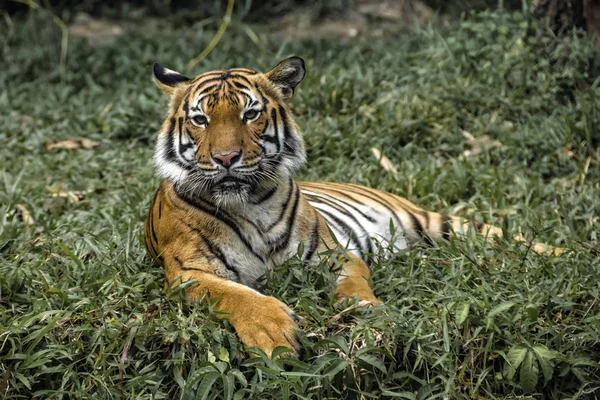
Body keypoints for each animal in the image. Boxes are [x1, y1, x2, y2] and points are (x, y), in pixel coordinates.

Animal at [144, 57, 564, 360]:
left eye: (250, 114)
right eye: (200, 119)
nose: (226, 158)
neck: (251, 204)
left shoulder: (335, 253)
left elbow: (354, 284)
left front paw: (367, 308)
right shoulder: (188, 274)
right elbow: (234, 295)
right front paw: (273, 333)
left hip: (441, 224)